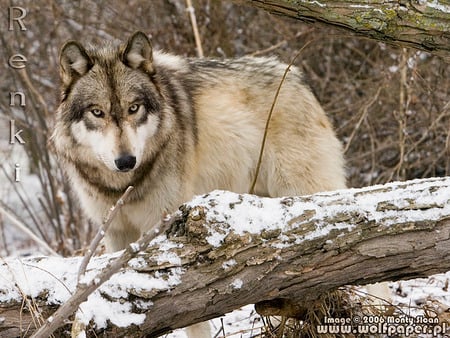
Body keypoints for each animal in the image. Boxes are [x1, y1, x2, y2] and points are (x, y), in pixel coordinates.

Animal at [50, 31, 344, 336]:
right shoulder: (115, 233)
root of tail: (298, 77)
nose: (126, 161)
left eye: (134, 108)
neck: (123, 187)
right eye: (97, 112)